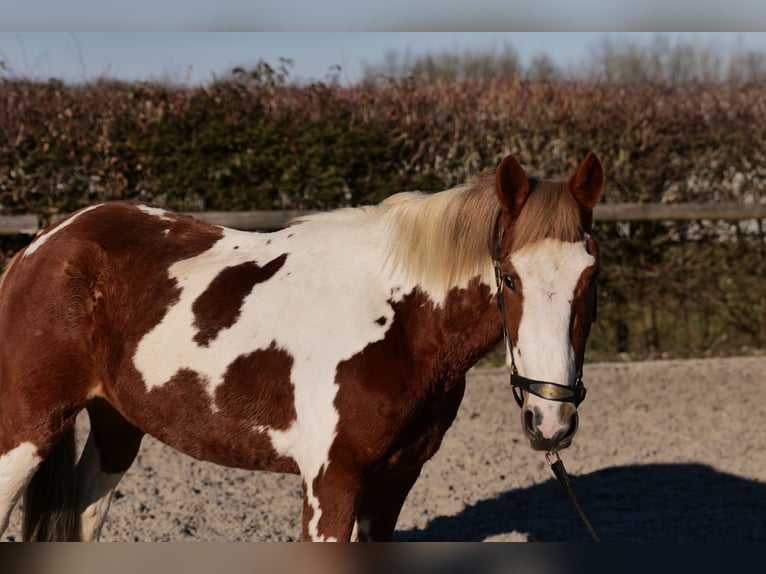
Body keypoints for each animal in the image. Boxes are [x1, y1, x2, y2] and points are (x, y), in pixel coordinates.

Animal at [0, 151, 604, 544]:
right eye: (509, 277)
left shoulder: (393, 483)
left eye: (591, 276)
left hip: (118, 428)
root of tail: (41, 246)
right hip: (26, 433)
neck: (398, 322)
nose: (550, 422)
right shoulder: (330, 484)